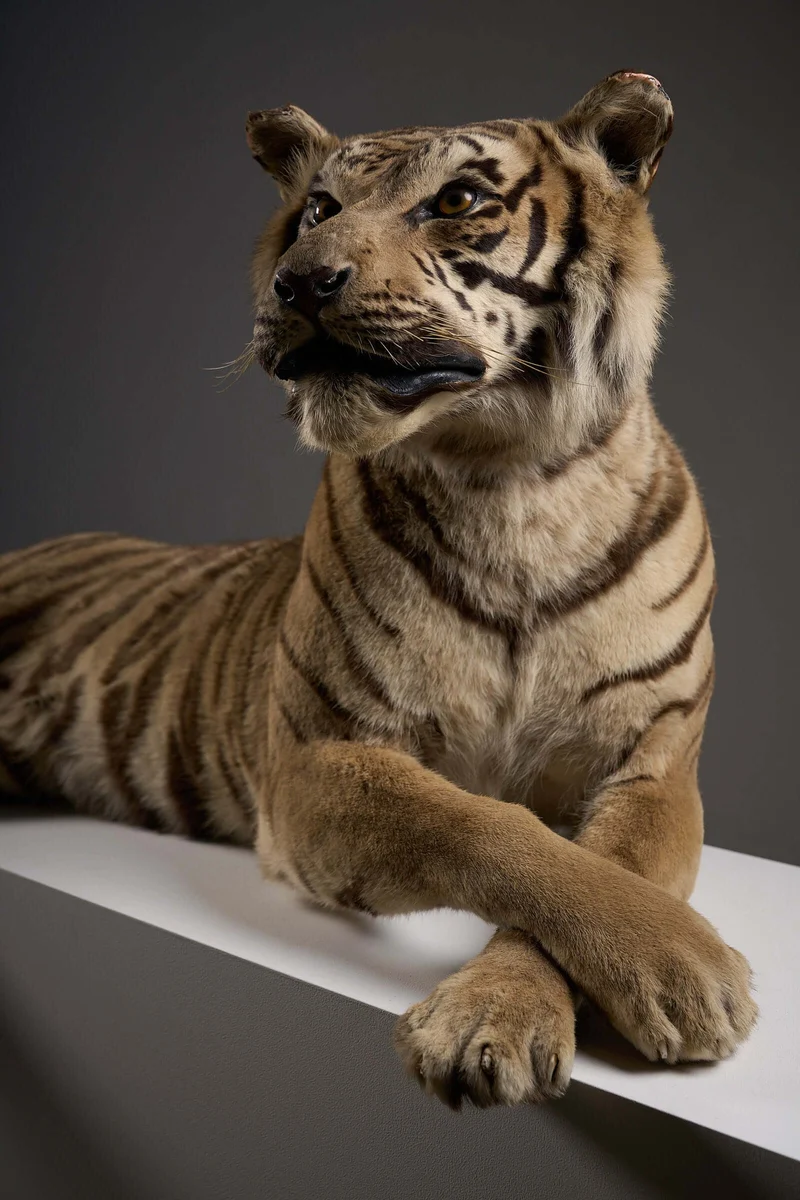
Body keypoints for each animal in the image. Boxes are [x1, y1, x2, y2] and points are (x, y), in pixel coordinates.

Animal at [0, 71, 757, 1109]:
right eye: (318, 209)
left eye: (458, 201)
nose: (299, 281)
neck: (512, 481)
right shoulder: (321, 757)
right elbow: (492, 829)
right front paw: (680, 966)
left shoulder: (652, 762)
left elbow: (598, 864)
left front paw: (521, 1005)